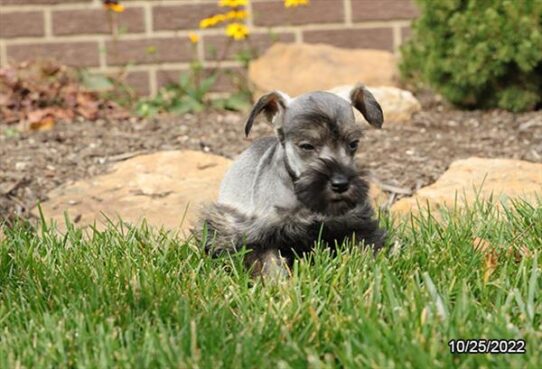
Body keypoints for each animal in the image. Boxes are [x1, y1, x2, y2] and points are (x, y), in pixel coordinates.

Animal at [199, 85, 386, 278]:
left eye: (353, 143)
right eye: (307, 146)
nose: (341, 184)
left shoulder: (355, 222)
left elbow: (363, 246)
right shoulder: (259, 235)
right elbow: (270, 264)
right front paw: (279, 283)